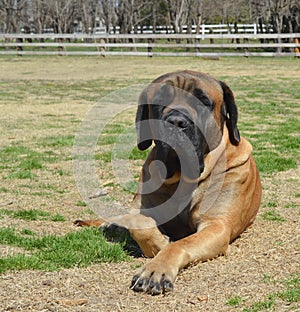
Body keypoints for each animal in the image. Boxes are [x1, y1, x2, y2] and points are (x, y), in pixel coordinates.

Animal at [74, 70, 260, 294]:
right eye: (159, 101)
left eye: (203, 101)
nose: (177, 121)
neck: (183, 178)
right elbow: (139, 221)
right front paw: (159, 242)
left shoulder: (217, 226)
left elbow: (180, 244)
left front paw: (157, 268)